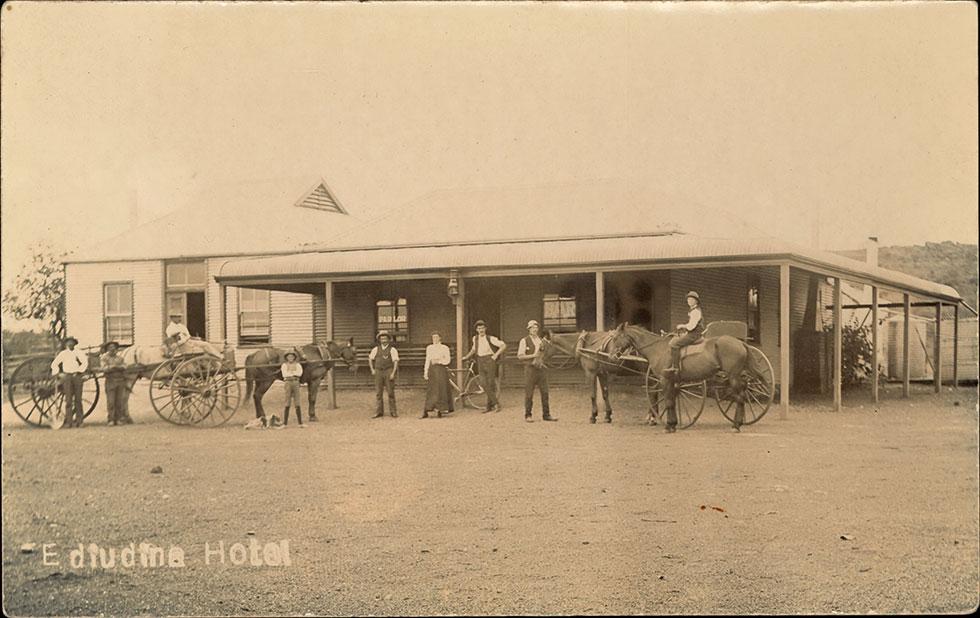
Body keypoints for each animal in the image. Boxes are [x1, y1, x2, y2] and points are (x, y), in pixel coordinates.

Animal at [608, 322, 756, 428]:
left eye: (615, 338)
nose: (611, 356)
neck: (658, 349)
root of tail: (740, 342)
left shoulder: (664, 379)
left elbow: (668, 402)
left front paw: (668, 426)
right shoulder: (672, 381)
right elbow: (672, 401)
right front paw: (673, 423)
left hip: (733, 377)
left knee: (740, 397)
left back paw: (736, 425)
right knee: (742, 395)